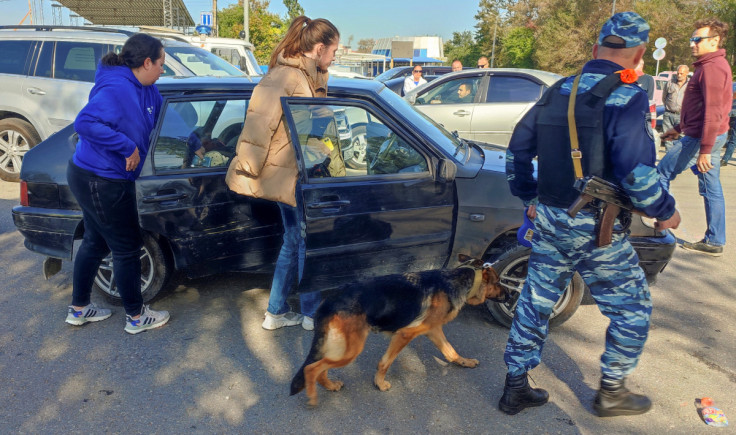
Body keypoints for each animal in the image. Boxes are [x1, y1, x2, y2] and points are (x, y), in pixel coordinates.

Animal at [290, 254, 508, 408]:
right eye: (498, 282)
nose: (510, 294)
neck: (456, 280)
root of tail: (331, 299)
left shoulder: (434, 331)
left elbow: (451, 352)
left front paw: (465, 362)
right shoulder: (404, 334)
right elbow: (384, 363)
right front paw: (380, 383)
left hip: (342, 347)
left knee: (320, 367)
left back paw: (330, 386)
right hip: (351, 350)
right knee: (312, 368)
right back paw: (313, 397)